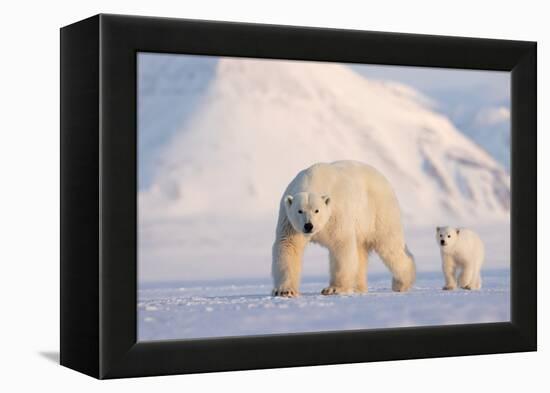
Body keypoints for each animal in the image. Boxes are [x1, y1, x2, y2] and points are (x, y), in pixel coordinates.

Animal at [272, 159, 418, 294]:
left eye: (317, 210)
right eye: (300, 211)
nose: (309, 226)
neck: (313, 180)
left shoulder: (336, 214)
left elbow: (341, 245)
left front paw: (333, 289)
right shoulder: (289, 221)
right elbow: (288, 246)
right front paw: (284, 291)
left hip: (378, 211)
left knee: (389, 245)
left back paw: (401, 283)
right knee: (360, 252)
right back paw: (359, 287)